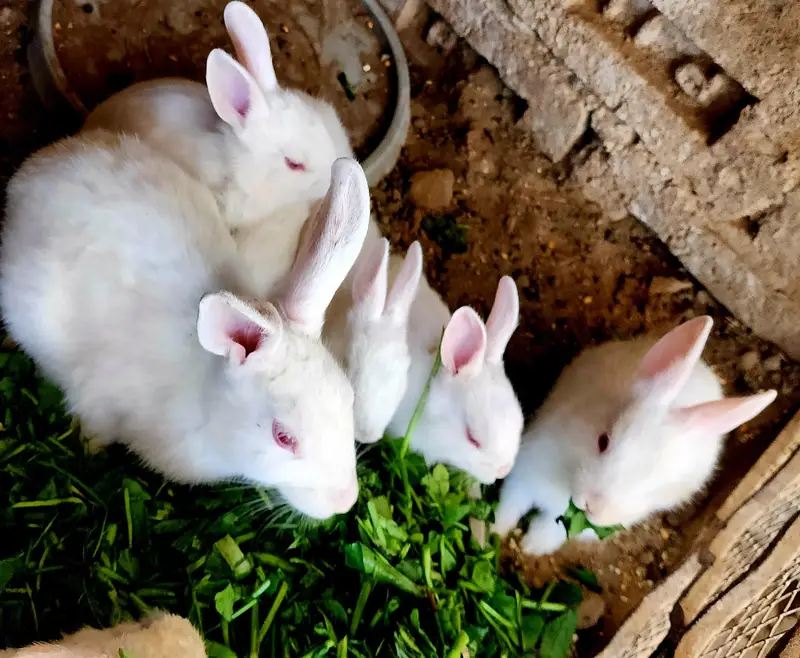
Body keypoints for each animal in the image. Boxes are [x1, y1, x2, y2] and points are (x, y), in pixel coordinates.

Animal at [0, 108, 370, 520]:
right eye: (283, 437)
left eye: (348, 399)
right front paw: (90, 451)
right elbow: (95, 429)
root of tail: (32, 171)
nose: (344, 501)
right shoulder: (97, 401)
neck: (207, 395)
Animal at [493, 315, 778, 556]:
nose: (592, 507)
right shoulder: (524, 476)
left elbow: (548, 531)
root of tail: (704, 372)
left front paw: (530, 547)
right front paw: (495, 534)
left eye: (653, 485)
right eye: (603, 441)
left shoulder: (564, 526)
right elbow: (509, 506)